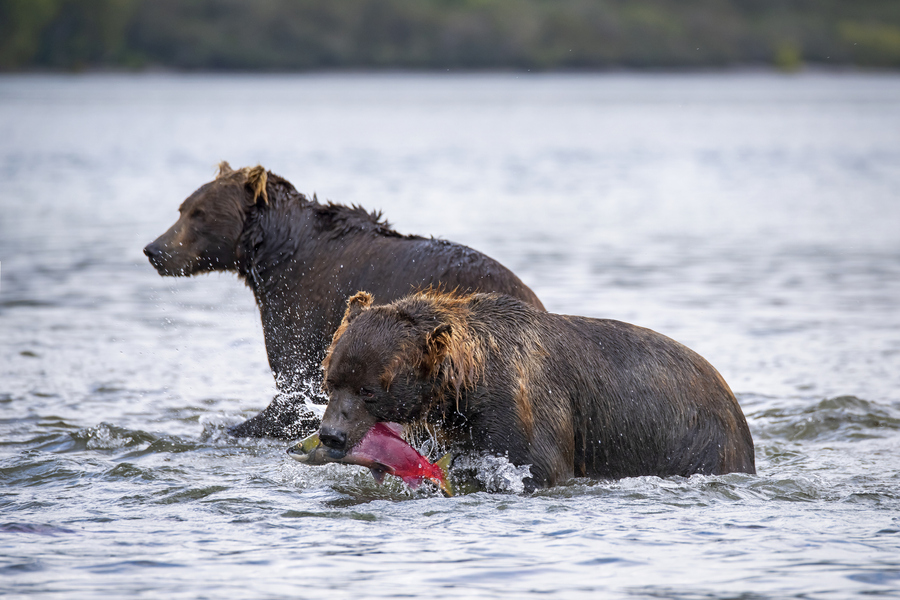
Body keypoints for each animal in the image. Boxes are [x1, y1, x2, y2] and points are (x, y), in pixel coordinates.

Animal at [144, 162, 544, 438]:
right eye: (182, 208)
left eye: (199, 214)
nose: (154, 250)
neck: (273, 255)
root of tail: (531, 297)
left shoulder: (300, 304)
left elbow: (291, 386)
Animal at [320, 288, 756, 490]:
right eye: (331, 380)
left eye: (368, 390)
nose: (331, 434)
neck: (464, 385)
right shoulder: (453, 426)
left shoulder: (526, 404)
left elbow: (538, 465)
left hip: (698, 440)